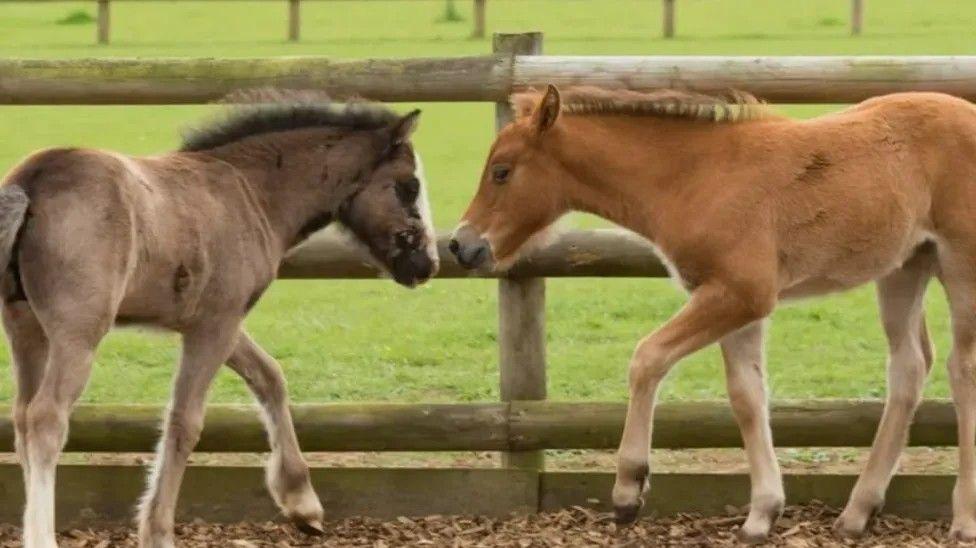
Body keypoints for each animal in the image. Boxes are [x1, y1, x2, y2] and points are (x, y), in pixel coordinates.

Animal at [0, 97, 438, 548]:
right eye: (409, 186)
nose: (427, 264)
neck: (251, 192)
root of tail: (31, 181)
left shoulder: (214, 320)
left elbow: (270, 377)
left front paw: (302, 503)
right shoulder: (216, 325)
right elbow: (185, 421)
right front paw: (158, 531)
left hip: (25, 328)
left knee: (21, 416)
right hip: (78, 334)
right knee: (46, 418)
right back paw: (41, 537)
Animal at [452, 83, 976, 540]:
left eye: (501, 170)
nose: (462, 245)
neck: (696, 176)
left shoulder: (740, 294)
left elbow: (647, 357)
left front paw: (628, 490)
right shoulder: (735, 303)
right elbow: (746, 395)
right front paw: (762, 514)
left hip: (961, 264)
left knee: (962, 369)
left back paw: (963, 520)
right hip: (905, 267)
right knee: (909, 367)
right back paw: (857, 512)